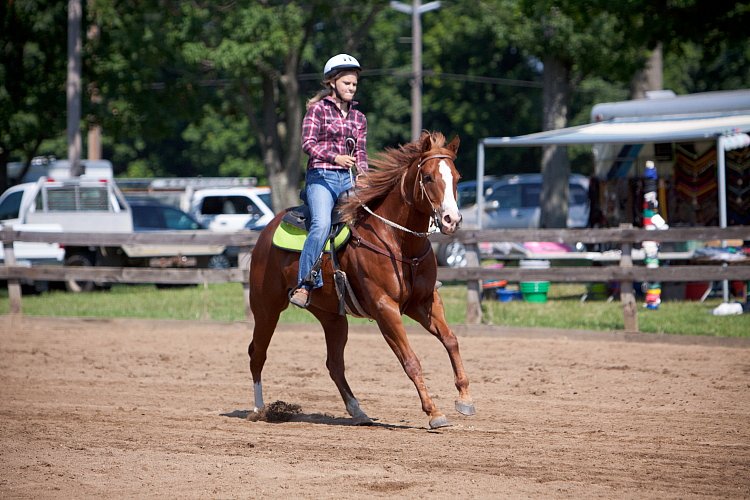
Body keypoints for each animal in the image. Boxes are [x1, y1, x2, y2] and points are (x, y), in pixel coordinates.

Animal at [251, 133, 476, 430]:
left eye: (457, 177)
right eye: (427, 177)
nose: (452, 220)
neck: (399, 242)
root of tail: (266, 230)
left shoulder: (425, 302)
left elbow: (451, 341)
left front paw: (465, 398)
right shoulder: (385, 309)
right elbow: (411, 360)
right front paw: (434, 412)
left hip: (332, 318)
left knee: (334, 364)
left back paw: (358, 411)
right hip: (266, 308)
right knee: (257, 353)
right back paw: (259, 409)